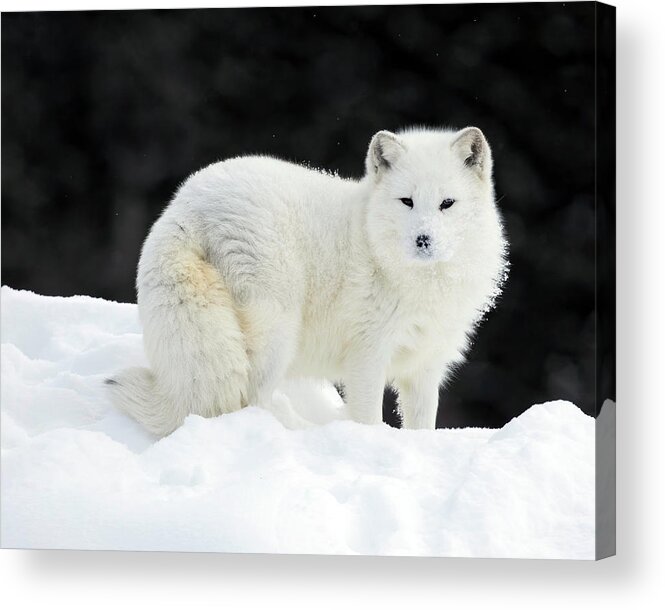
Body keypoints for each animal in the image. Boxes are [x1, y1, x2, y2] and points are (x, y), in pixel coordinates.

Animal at [106, 127, 506, 432]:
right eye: (406, 201)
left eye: (447, 203)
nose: (423, 239)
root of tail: (186, 208)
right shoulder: (367, 357)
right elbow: (367, 418)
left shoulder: (424, 367)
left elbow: (422, 426)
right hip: (277, 335)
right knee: (249, 399)